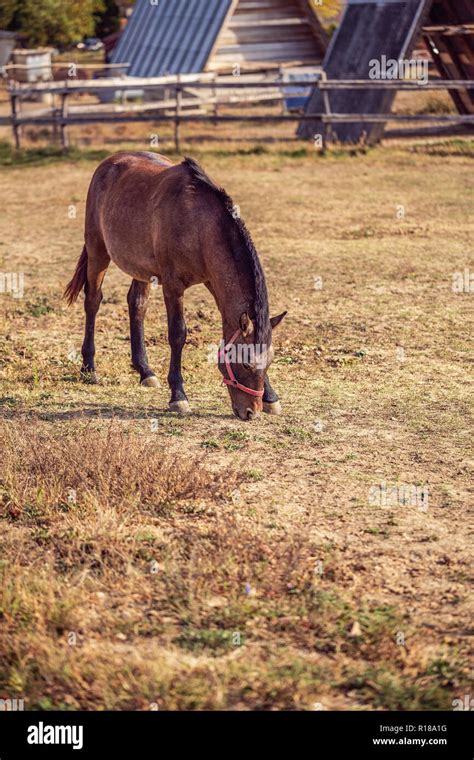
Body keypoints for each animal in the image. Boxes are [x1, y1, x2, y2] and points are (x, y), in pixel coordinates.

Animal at [65, 151, 286, 418]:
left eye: (270, 361)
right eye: (244, 362)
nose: (251, 412)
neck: (199, 224)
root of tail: (110, 161)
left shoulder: (213, 281)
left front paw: (271, 396)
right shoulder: (173, 286)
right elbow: (178, 334)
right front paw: (178, 395)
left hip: (141, 268)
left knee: (137, 304)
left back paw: (145, 371)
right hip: (98, 251)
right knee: (93, 301)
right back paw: (89, 367)